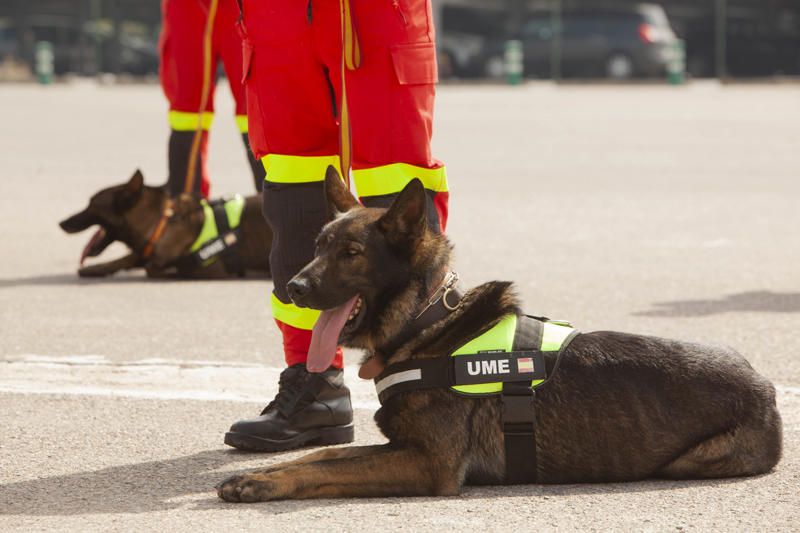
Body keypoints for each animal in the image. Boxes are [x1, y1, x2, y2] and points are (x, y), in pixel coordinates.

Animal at [58, 170, 272, 278]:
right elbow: (127, 258)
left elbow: (151, 267)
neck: (160, 225)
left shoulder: (208, 268)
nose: (61, 223)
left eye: (92, 205)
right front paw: (96, 268)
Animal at [216, 167, 784, 502]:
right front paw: (260, 474)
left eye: (351, 254)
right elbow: (325, 455)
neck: (426, 324)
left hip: (691, 460)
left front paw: (262, 482)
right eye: (318, 245)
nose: (292, 287)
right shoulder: (402, 447)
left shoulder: (430, 464)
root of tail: (765, 384)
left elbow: (326, 470)